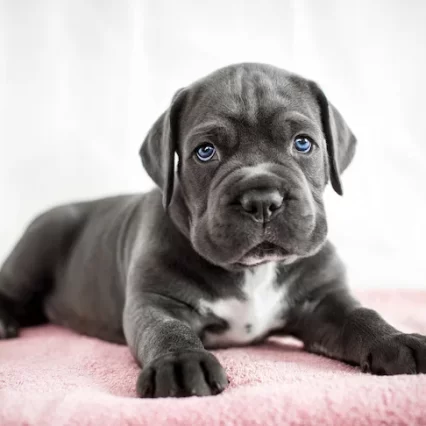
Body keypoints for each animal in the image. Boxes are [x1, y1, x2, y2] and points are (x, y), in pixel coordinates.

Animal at [0, 64, 426, 400]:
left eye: (303, 143)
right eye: (205, 151)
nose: (262, 199)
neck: (253, 271)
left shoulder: (323, 301)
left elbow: (362, 316)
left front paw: (396, 340)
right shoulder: (156, 302)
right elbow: (167, 330)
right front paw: (181, 363)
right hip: (39, 244)